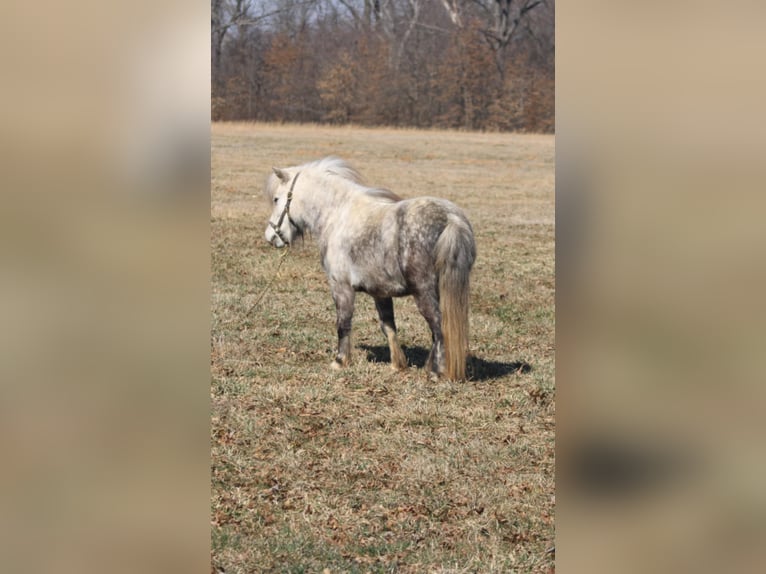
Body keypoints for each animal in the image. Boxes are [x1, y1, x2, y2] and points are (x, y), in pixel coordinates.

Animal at [268, 158, 476, 382]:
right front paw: (397, 365)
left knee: (438, 326)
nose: (271, 237)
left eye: (276, 199)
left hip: (424, 292)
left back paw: (437, 372)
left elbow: (343, 323)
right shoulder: (380, 293)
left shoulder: (341, 287)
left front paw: (340, 361)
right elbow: (388, 326)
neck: (337, 216)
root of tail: (452, 219)